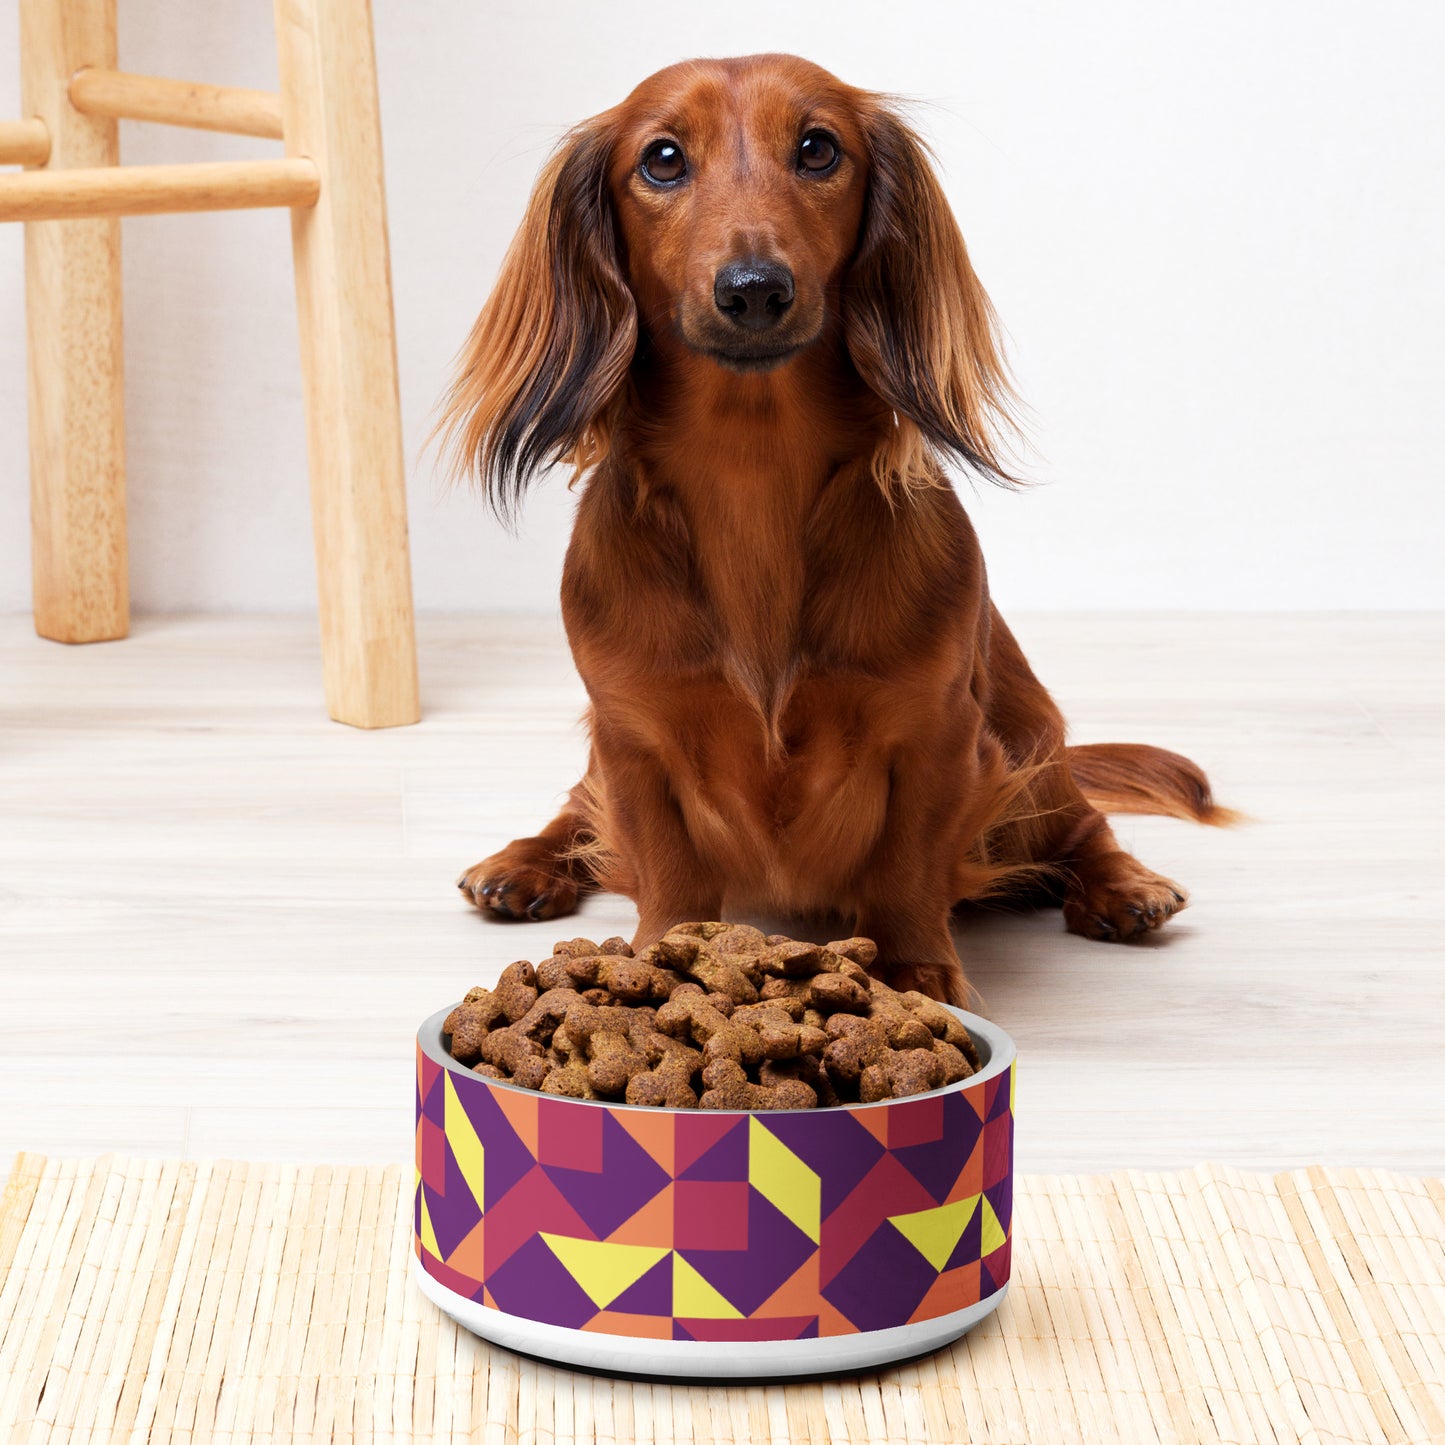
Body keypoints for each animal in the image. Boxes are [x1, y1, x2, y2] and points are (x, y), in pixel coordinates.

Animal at [439, 56, 1231, 1005]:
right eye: (661, 159)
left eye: (818, 148)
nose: (753, 289)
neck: (752, 474)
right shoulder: (632, 735)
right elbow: (664, 865)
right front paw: (661, 958)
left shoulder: (937, 734)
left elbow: (906, 866)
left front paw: (915, 970)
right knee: (576, 810)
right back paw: (523, 863)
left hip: (1028, 744)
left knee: (1081, 823)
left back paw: (1123, 885)